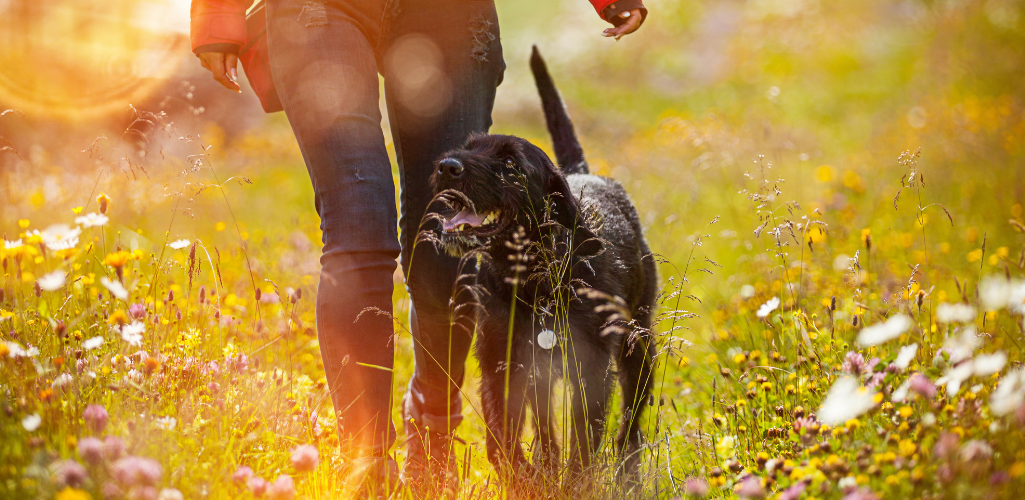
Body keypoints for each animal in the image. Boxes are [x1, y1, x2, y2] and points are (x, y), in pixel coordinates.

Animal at [426, 47, 656, 479]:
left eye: (511, 164)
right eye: (470, 145)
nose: (447, 166)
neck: (534, 281)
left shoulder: (592, 369)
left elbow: (584, 440)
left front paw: (572, 482)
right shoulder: (501, 365)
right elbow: (502, 439)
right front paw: (525, 479)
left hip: (639, 343)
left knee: (631, 421)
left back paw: (626, 472)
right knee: (547, 426)